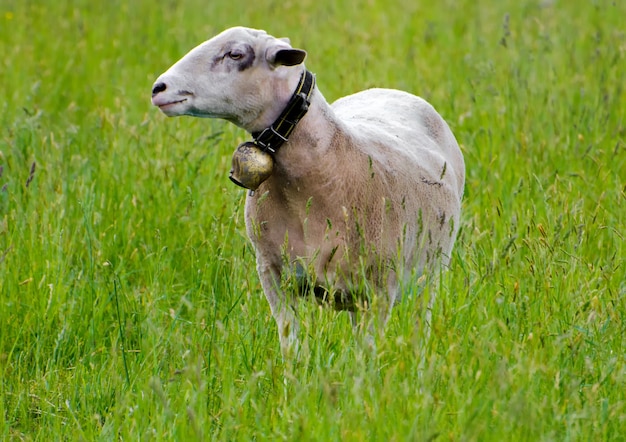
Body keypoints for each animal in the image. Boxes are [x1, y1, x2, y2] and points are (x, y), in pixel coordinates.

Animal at [151, 26, 464, 360]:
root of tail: (392, 91)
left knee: (421, 324)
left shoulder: (380, 287)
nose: (158, 88)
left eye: (235, 54)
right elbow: (291, 344)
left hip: (431, 272)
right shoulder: (273, 274)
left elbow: (366, 353)